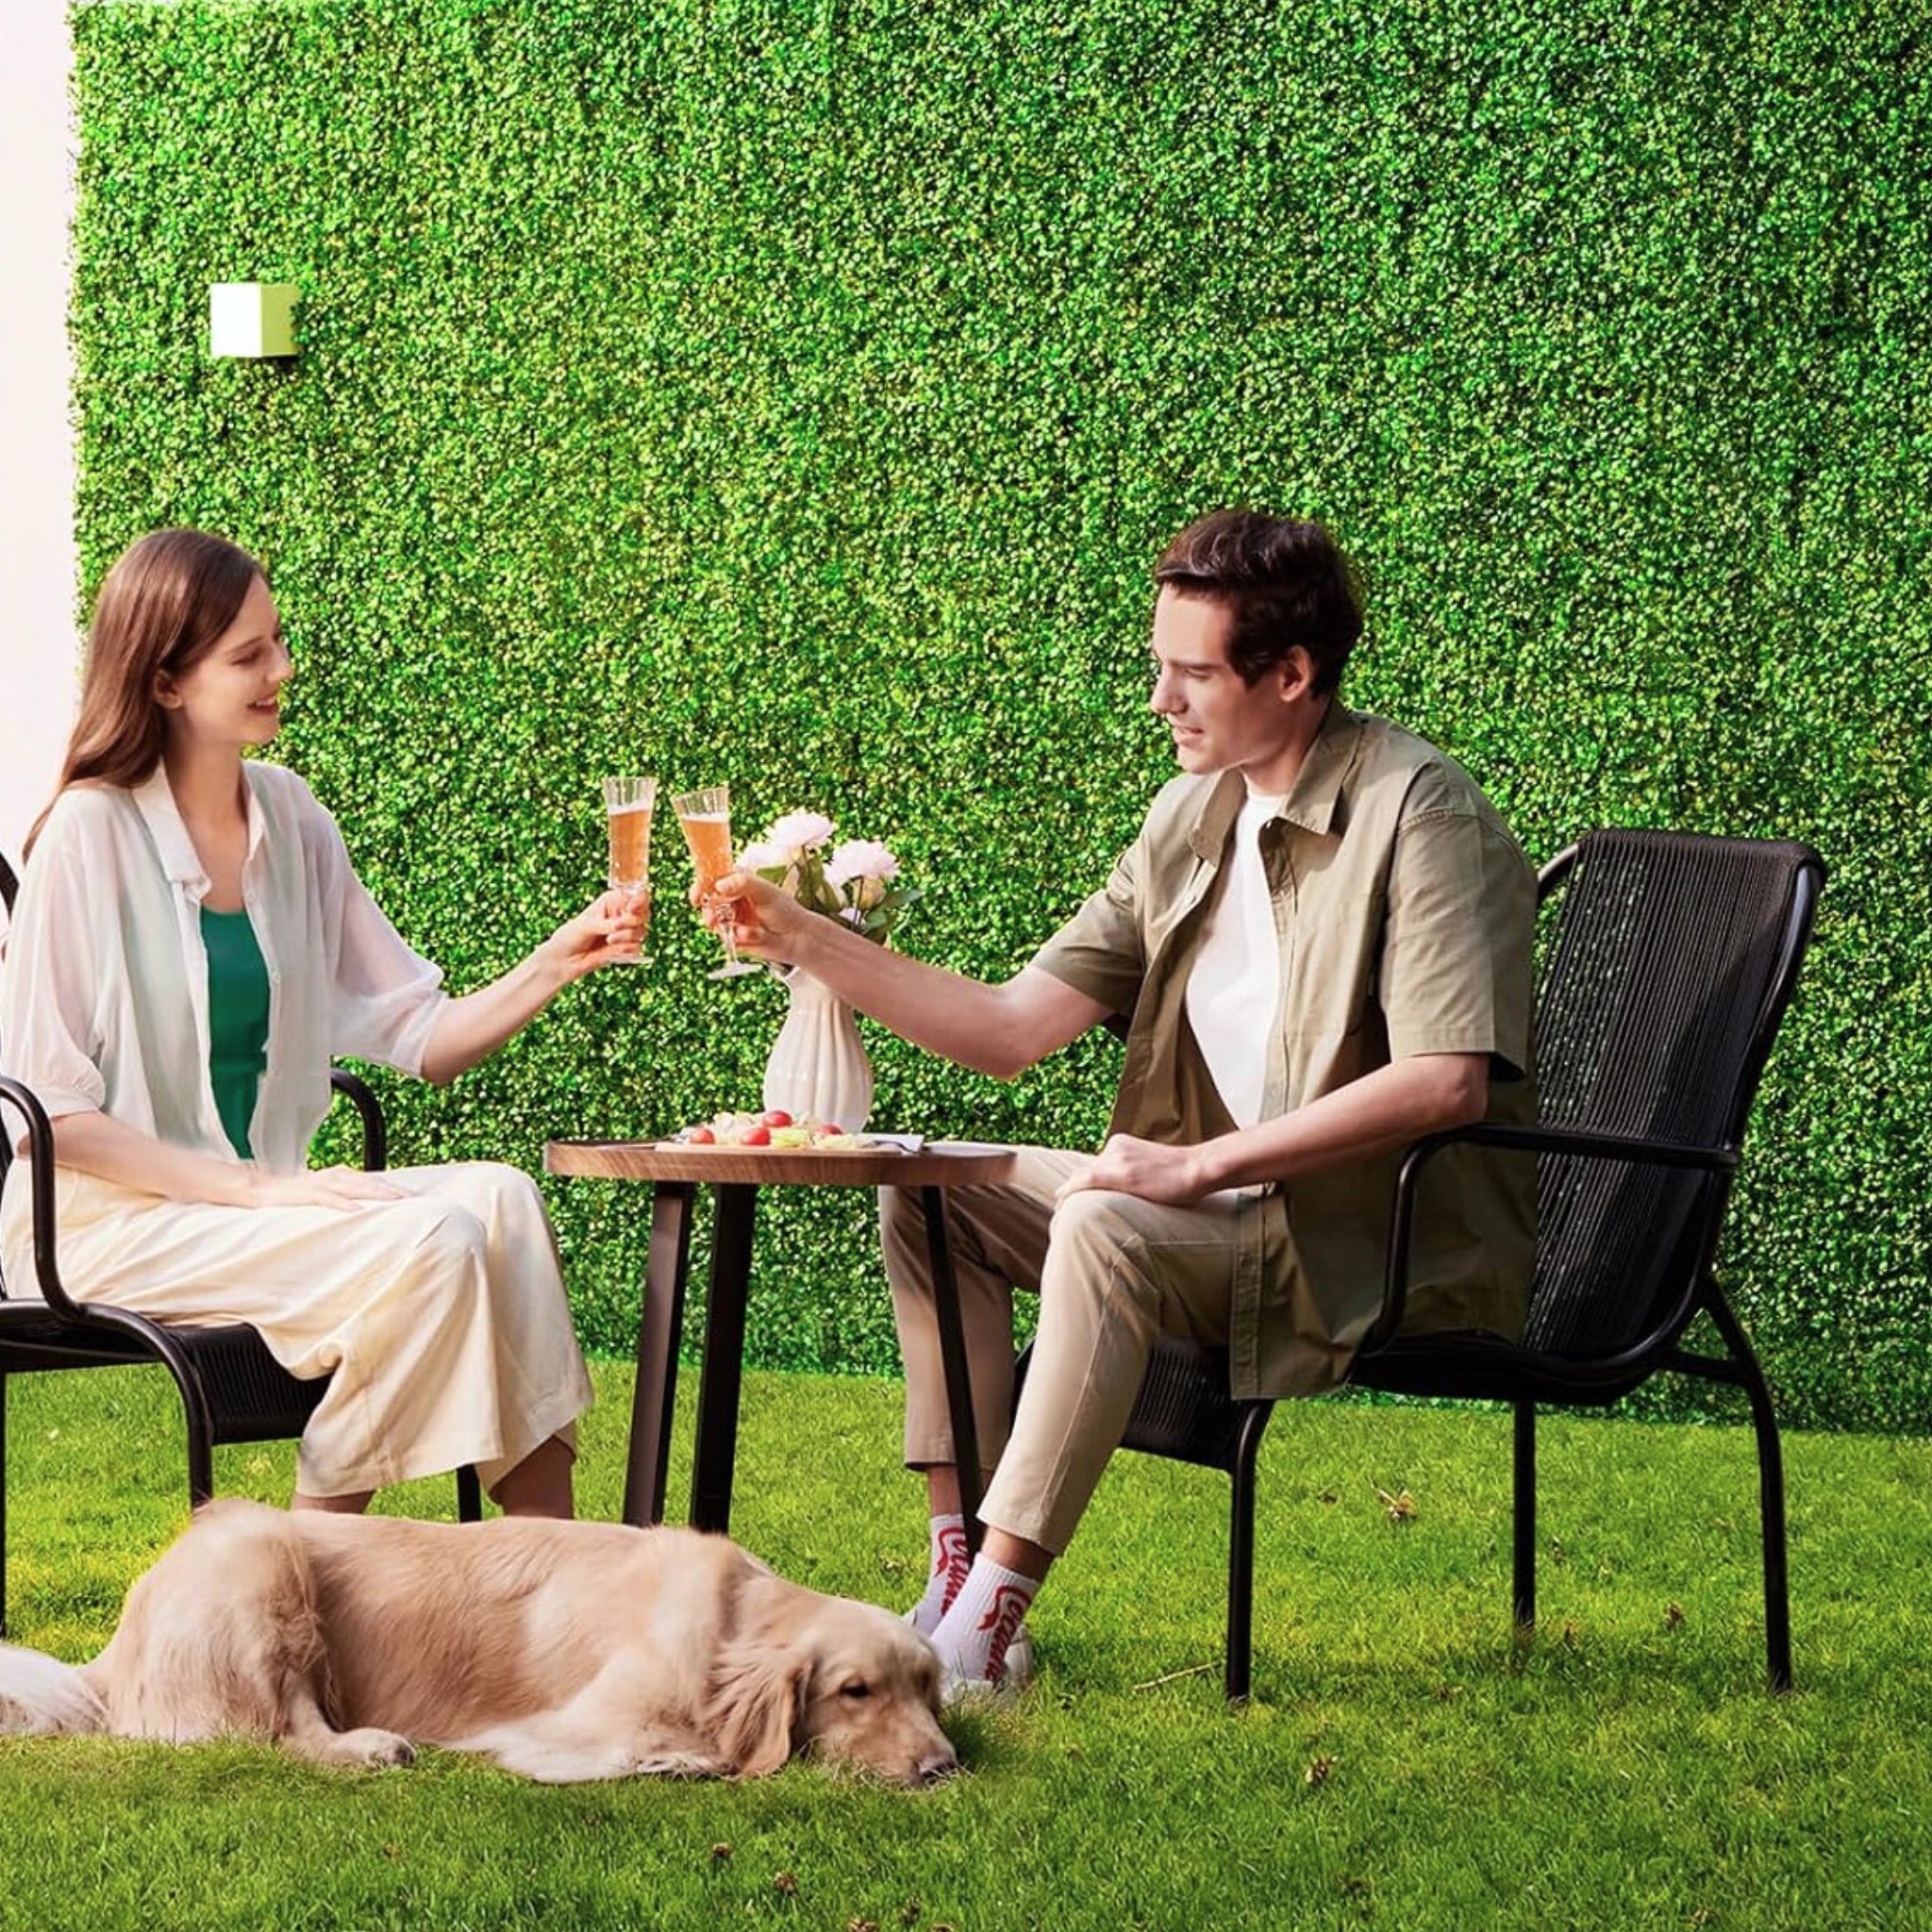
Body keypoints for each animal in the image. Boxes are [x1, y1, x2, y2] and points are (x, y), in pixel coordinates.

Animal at [0, 1499, 958, 1785]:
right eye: (855, 1691)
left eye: (928, 1690)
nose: (945, 1768)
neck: (732, 1617)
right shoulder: (575, 1723)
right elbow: (693, 1748)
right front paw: (683, 1759)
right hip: (259, 1557)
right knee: (278, 1730)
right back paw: (371, 1746)